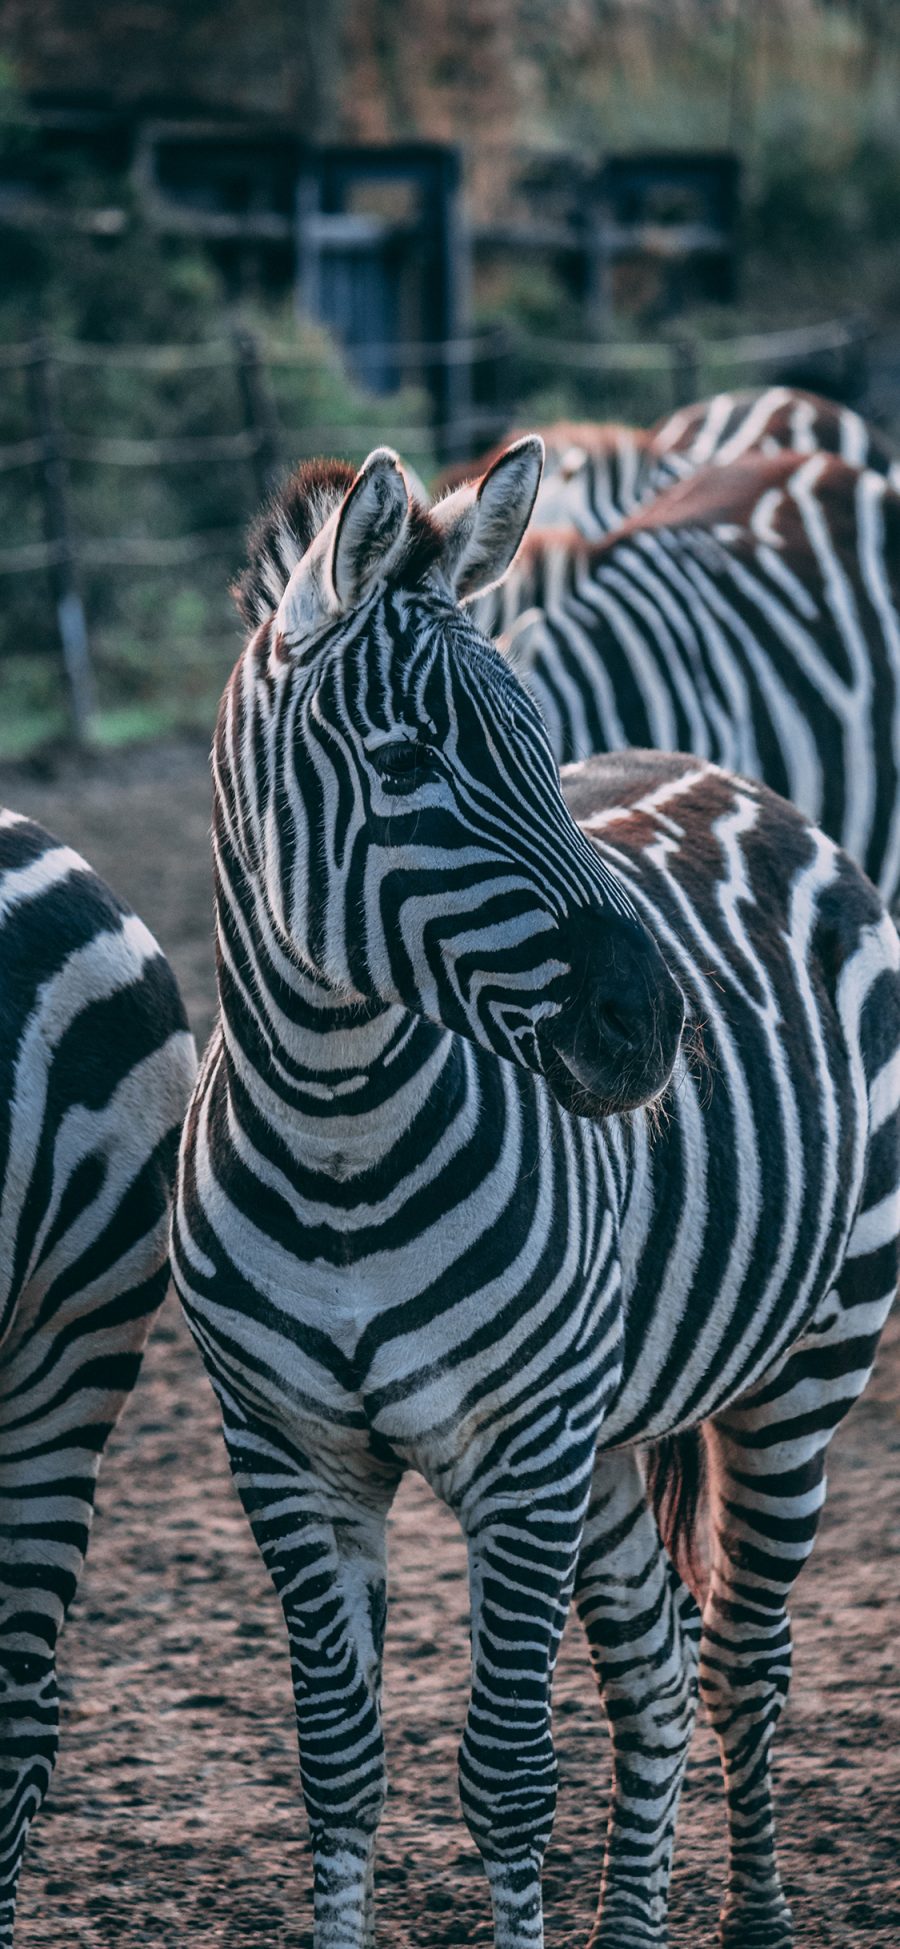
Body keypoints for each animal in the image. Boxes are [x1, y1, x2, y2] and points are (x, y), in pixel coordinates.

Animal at [170, 442, 900, 1949]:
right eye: (405, 761)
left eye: (536, 749)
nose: (653, 1029)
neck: (335, 1141)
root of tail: (734, 778)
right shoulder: (283, 1450)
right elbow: (340, 1762)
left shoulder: (522, 1445)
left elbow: (507, 1768)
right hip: (612, 1428)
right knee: (658, 1665)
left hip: (806, 1362)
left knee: (743, 1649)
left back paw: (754, 1914)